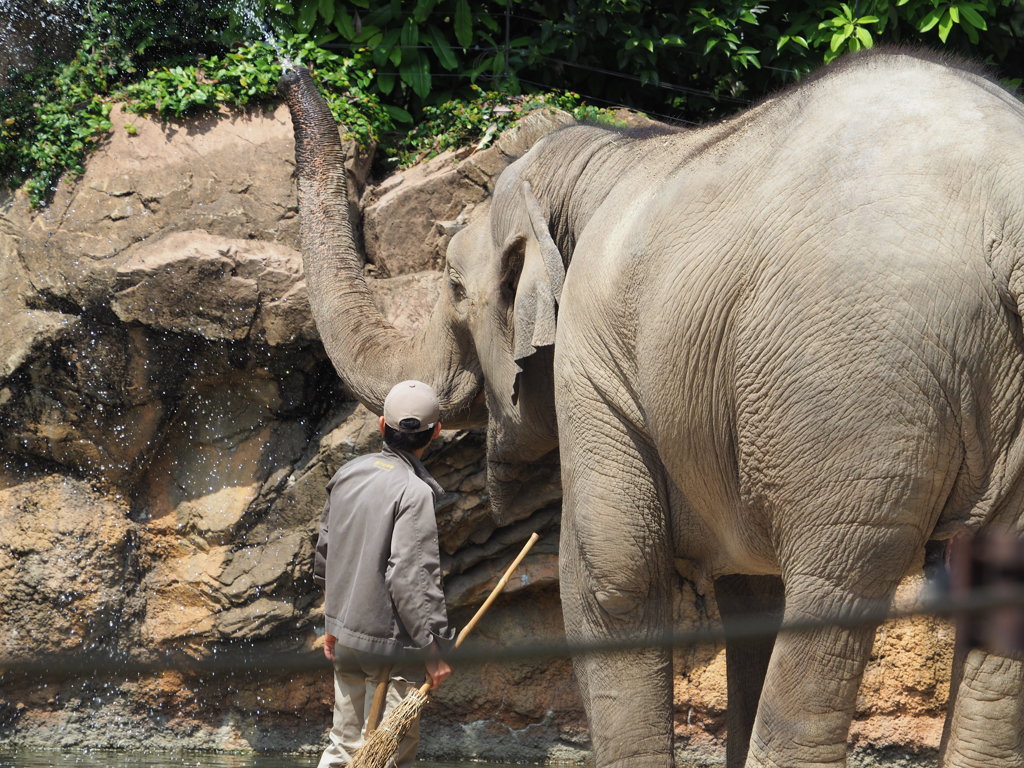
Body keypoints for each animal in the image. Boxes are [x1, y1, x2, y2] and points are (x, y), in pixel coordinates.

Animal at [278, 49, 1024, 768]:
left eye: (456, 289)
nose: (292, 68)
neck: (606, 156)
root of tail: (1005, 210)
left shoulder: (593, 357)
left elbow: (612, 579)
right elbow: (748, 592)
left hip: (857, 383)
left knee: (831, 595)